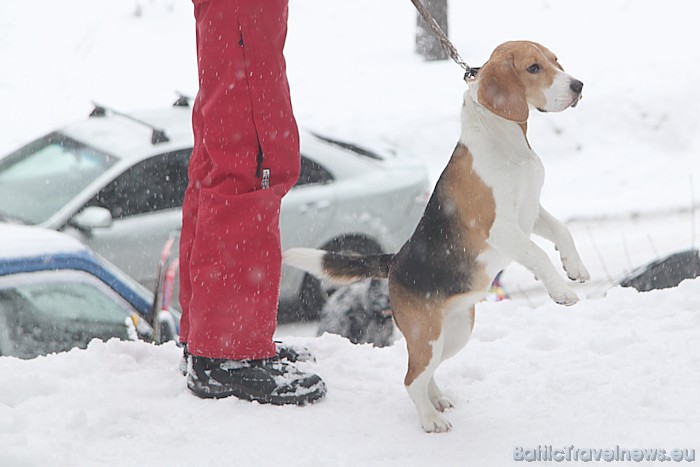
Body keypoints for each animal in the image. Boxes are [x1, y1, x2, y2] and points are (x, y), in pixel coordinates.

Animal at [282, 41, 588, 436]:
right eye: (534, 68)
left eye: (555, 60)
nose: (579, 86)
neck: (503, 138)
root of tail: (393, 261)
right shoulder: (499, 226)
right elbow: (536, 253)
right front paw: (562, 291)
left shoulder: (530, 212)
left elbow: (562, 230)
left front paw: (575, 268)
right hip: (426, 335)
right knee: (411, 379)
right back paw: (430, 419)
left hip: (455, 334)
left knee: (424, 374)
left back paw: (437, 399)